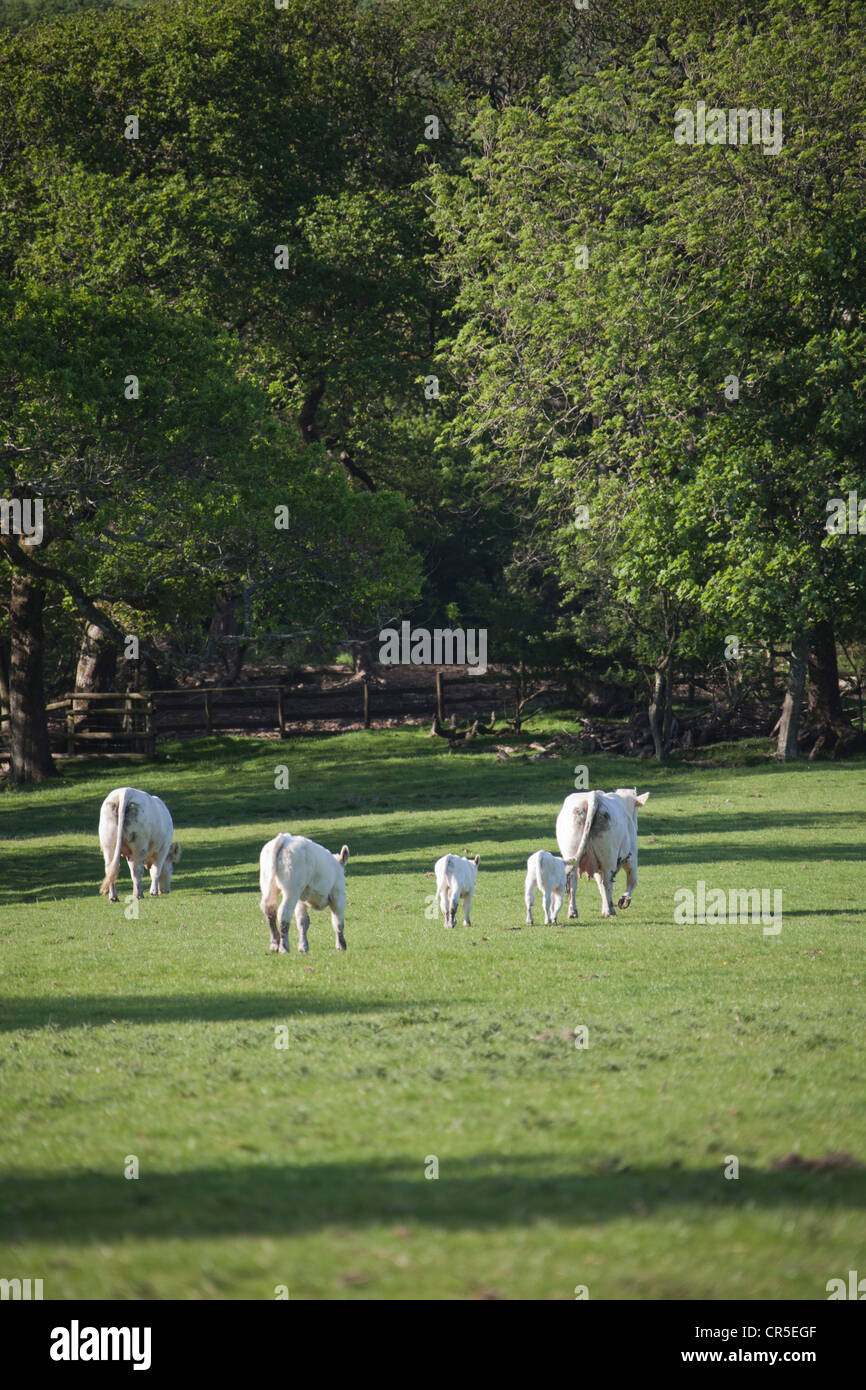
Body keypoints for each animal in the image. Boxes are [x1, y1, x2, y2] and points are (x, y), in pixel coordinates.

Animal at [556, 789, 650, 917]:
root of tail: (592, 797)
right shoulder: (631, 856)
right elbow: (632, 880)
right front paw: (624, 900)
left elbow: (600, 886)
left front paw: (604, 909)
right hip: (608, 857)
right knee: (608, 883)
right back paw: (611, 911)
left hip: (571, 854)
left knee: (573, 882)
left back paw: (572, 912)